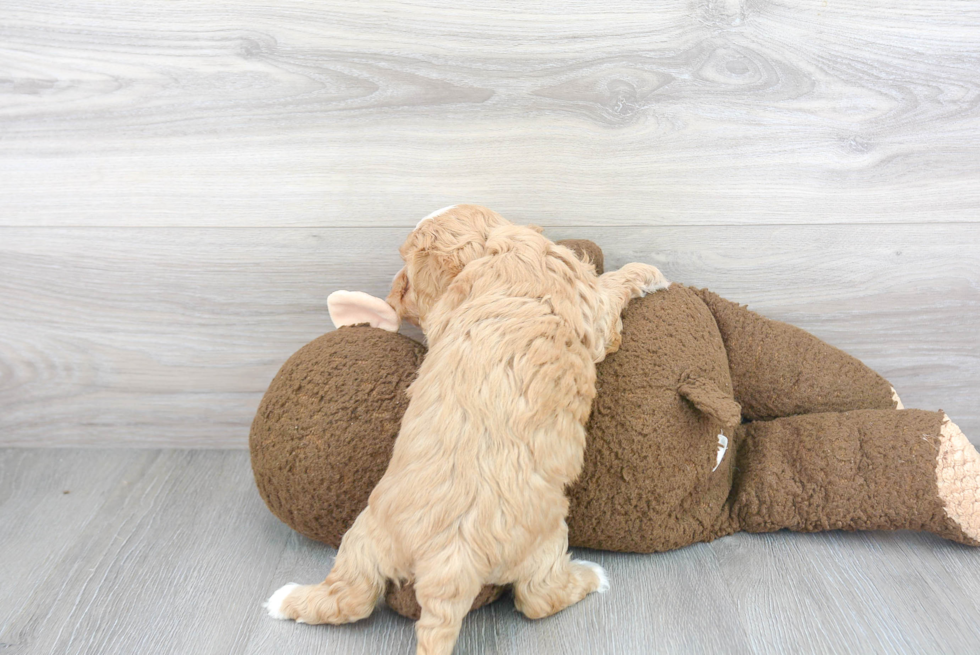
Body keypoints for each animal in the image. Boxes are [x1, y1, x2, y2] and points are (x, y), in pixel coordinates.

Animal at [266, 205, 668, 655]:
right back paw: (593, 577)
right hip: (545, 539)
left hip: (363, 537)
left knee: (348, 597)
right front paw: (648, 271)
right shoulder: (591, 306)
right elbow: (614, 287)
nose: (394, 293)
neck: (492, 250)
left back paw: (283, 600)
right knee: (538, 598)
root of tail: (448, 564)